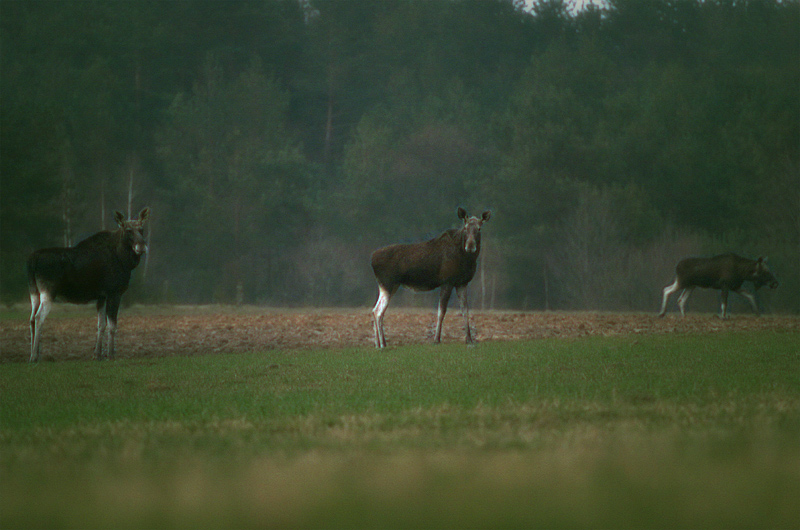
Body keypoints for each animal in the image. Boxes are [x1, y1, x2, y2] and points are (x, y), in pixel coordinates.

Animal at [28, 206, 150, 358]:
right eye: (128, 230)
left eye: (141, 229)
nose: (141, 246)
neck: (124, 261)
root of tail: (33, 260)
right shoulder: (114, 292)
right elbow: (112, 326)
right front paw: (111, 355)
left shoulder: (101, 295)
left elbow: (101, 324)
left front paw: (97, 355)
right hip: (48, 291)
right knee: (39, 317)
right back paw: (34, 356)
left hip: (34, 291)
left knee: (31, 319)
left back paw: (34, 354)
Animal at [372, 206, 490, 346]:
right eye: (465, 227)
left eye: (479, 228)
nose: (470, 246)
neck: (467, 260)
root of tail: (372, 259)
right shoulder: (447, 281)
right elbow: (441, 311)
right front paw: (436, 339)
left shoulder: (462, 283)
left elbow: (465, 310)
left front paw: (469, 340)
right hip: (388, 283)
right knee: (378, 311)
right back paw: (383, 344)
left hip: (390, 286)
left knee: (375, 310)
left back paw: (378, 344)